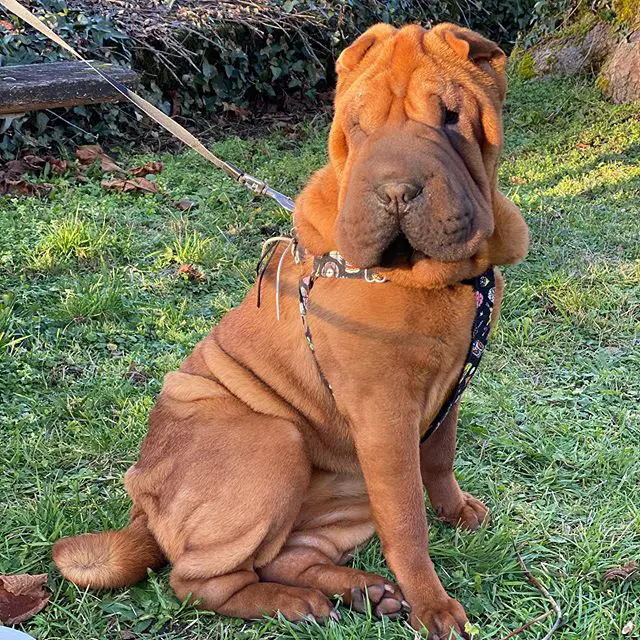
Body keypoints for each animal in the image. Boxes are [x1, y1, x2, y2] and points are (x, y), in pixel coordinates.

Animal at [53, 22, 528, 639]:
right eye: (359, 124)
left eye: (451, 118)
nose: (396, 190)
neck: (435, 281)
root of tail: (142, 508)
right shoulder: (384, 417)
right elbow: (406, 521)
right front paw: (434, 606)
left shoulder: (447, 392)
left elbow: (440, 458)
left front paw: (455, 511)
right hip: (275, 442)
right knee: (200, 580)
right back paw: (297, 603)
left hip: (346, 493)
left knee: (288, 554)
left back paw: (363, 591)